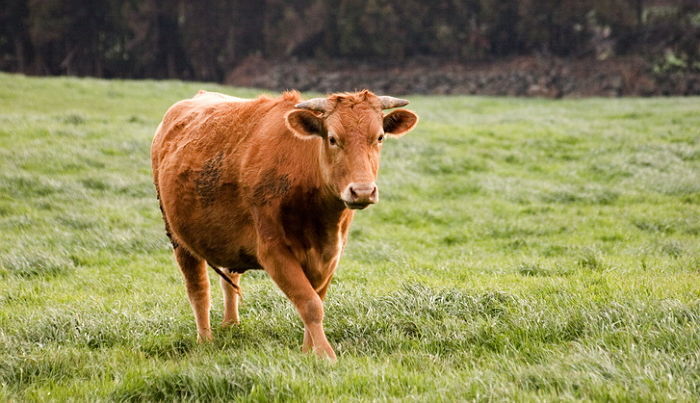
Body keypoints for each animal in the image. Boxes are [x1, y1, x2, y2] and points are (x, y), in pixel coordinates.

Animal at [151, 88, 418, 360]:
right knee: (198, 290)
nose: (362, 191)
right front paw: (325, 355)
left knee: (229, 280)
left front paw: (308, 351)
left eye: (379, 137)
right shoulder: (274, 251)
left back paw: (231, 324)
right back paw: (205, 339)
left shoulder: (331, 253)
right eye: (333, 139)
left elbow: (316, 298)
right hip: (178, 237)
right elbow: (310, 304)